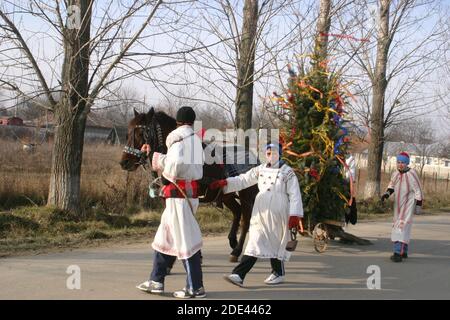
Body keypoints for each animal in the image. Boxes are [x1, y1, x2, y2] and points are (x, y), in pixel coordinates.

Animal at [119, 109, 258, 262]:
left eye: (140, 134)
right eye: (127, 134)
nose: (124, 162)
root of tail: (252, 156)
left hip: (246, 196)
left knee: (246, 220)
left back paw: (237, 251)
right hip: (226, 195)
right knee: (237, 212)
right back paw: (232, 241)